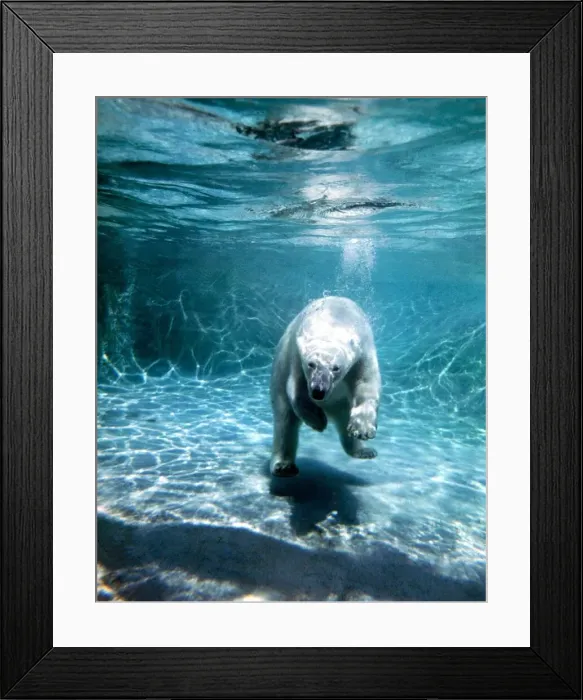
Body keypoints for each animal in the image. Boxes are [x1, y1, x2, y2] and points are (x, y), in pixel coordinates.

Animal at [269, 296, 381, 477]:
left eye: (336, 368)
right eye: (311, 364)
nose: (318, 391)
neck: (334, 320)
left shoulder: (363, 351)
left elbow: (366, 384)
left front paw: (362, 429)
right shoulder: (295, 355)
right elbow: (296, 389)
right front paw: (318, 421)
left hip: (343, 405)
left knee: (344, 424)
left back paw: (365, 451)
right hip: (277, 387)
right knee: (284, 423)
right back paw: (284, 467)